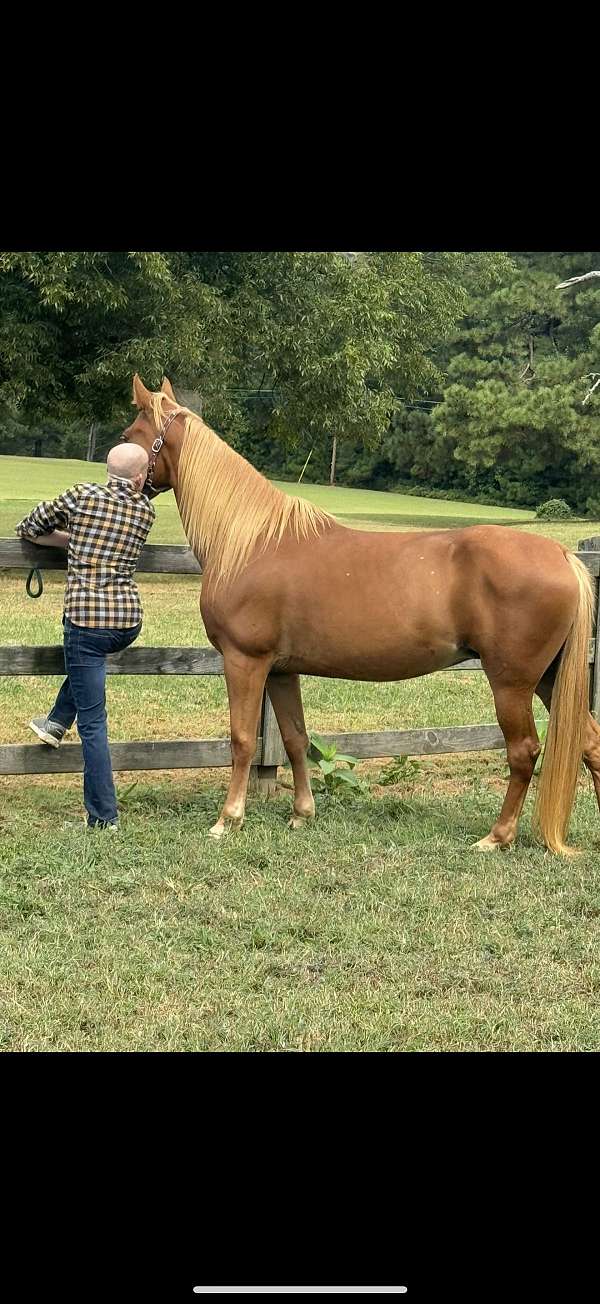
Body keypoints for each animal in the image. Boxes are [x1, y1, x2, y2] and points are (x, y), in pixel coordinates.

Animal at [123, 372, 600, 855]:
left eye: (129, 435)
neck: (252, 543)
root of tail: (562, 555)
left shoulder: (245, 661)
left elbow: (241, 740)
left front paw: (228, 819)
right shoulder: (281, 670)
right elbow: (295, 738)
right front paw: (301, 814)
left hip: (512, 682)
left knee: (523, 751)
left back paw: (496, 836)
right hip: (549, 677)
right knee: (590, 743)